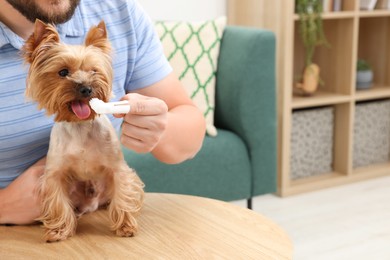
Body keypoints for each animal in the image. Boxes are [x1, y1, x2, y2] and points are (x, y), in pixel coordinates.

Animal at [21, 19, 143, 242]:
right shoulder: (55, 174)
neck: (80, 125)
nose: (86, 88)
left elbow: (123, 194)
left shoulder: (118, 169)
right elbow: (58, 201)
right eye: (63, 72)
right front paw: (59, 230)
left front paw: (125, 226)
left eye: (93, 71)